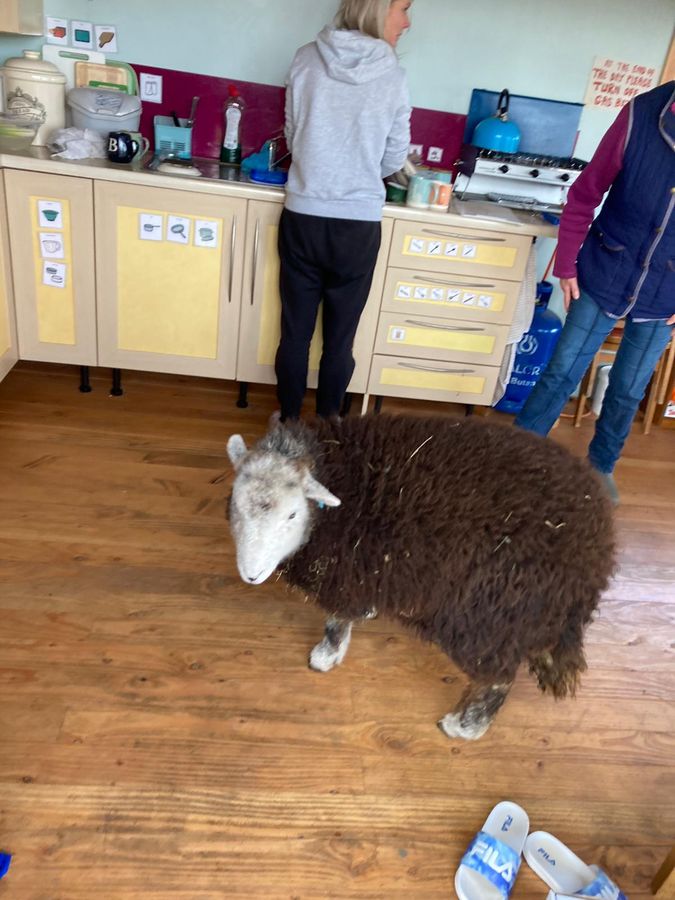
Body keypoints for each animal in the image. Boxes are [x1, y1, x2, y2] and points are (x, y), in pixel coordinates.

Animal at [226, 413, 616, 740]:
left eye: (292, 514)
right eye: (235, 504)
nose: (251, 575)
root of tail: (597, 548)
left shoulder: (347, 573)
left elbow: (336, 622)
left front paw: (325, 656)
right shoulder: (367, 571)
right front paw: (365, 617)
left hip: (490, 614)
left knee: (498, 679)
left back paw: (464, 727)